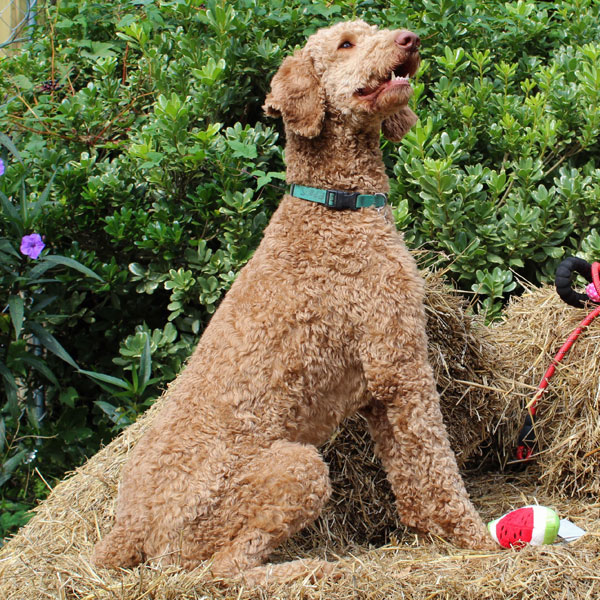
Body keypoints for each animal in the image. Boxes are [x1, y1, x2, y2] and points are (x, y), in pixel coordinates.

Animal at [92, 19, 492, 584]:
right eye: (346, 43)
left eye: (372, 29)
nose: (409, 39)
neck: (336, 208)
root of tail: (126, 529)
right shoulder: (400, 368)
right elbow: (438, 468)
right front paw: (479, 540)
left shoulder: (379, 395)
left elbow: (412, 479)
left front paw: (431, 534)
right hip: (293, 470)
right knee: (222, 570)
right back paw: (305, 570)